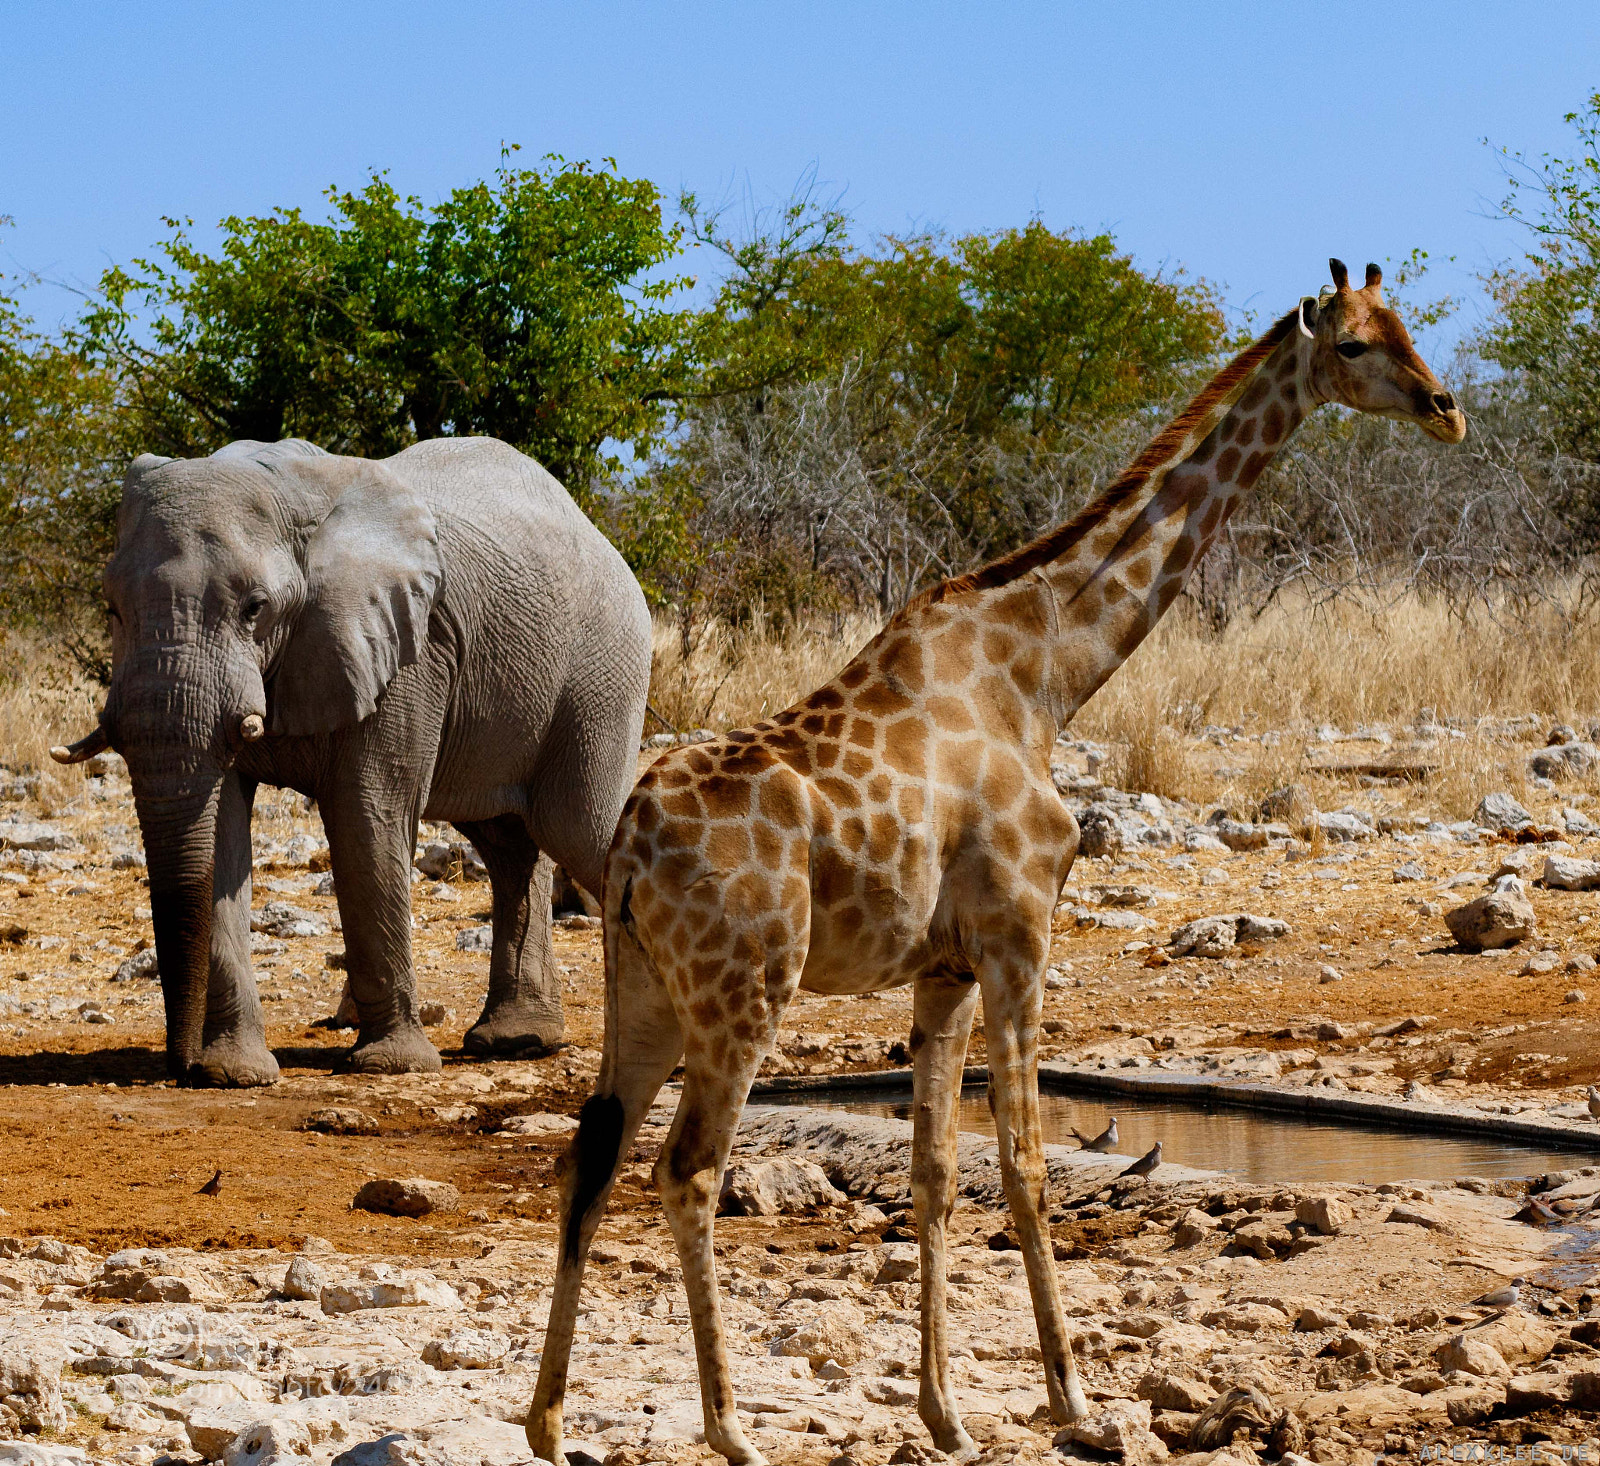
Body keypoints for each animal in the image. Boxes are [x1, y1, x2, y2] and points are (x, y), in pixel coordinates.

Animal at [54, 436, 651, 1087]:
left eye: (255, 608)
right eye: (111, 607)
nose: (176, 1066)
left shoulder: (409, 649)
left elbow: (367, 816)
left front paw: (391, 1065)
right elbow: (221, 830)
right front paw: (234, 1074)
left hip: (602, 673)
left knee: (577, 827)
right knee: (510, 843)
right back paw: (517, 1042)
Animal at [526, 260, 1466, 1466]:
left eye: (1407, 326)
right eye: (1352, 345)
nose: (1445, 409)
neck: (1044, 670)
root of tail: (633, 840)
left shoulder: (945, 969)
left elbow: (934, 1173)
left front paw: (946, 1412)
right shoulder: (1022, 933)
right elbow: (1022, 1160)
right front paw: (1075, 1402)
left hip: (640, 987)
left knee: (590, 1154)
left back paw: (550, 1421)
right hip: (746, 990)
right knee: (686, 1170)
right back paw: (731, 1430)